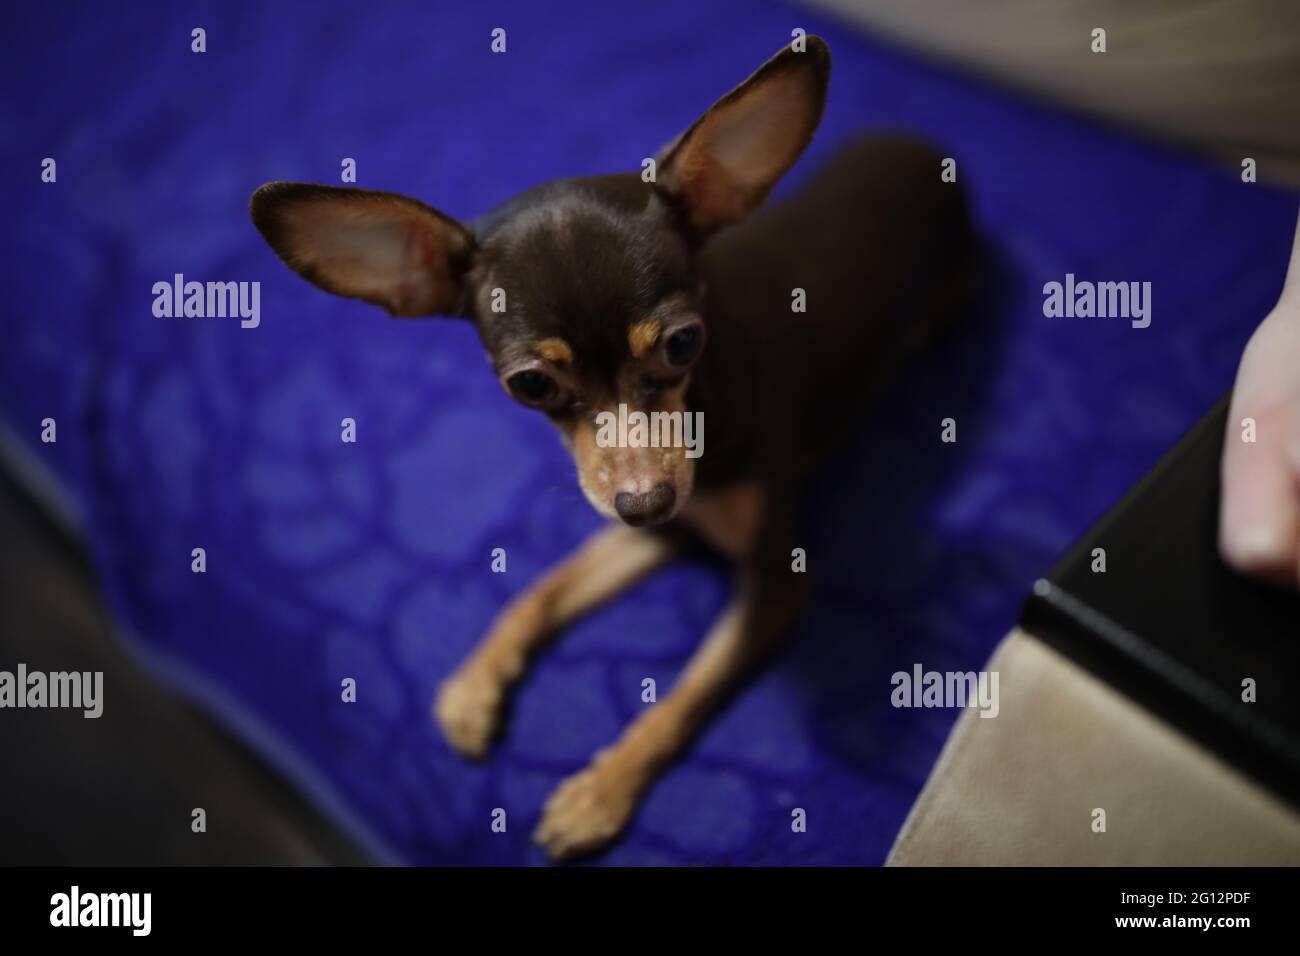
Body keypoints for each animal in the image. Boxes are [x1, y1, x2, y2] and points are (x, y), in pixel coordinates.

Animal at [248, 35, 972, 858]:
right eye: (531, 386)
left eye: (684, 343)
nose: (645, 500)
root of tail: (924, 145)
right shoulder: (656, 532)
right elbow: (538, 592)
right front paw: (473, 686)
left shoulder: (775, 582)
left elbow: (680, 700)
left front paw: (600, 793)